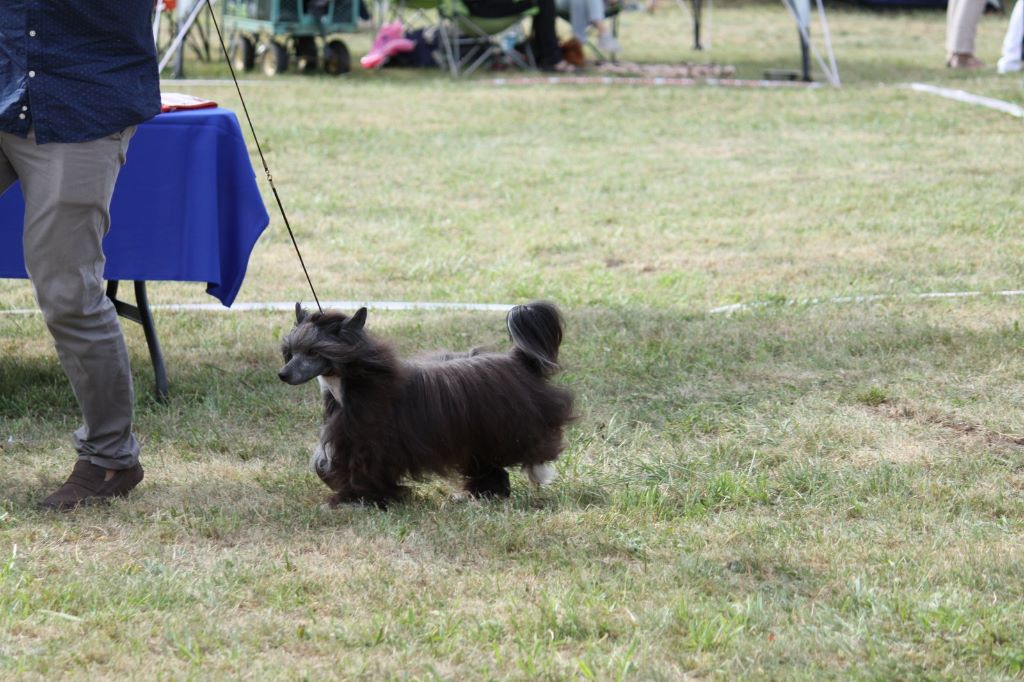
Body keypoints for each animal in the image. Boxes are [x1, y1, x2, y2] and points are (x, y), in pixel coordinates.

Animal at [276, 301, 573, 503]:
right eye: (291, 352)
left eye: (314, 352)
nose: (283, 374)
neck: (355, 380)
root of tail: (517, 359)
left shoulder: (370, 441)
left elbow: (363, 468)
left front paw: (357, 498)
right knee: (490, 467)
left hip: (505, 424)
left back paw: (538, 473)